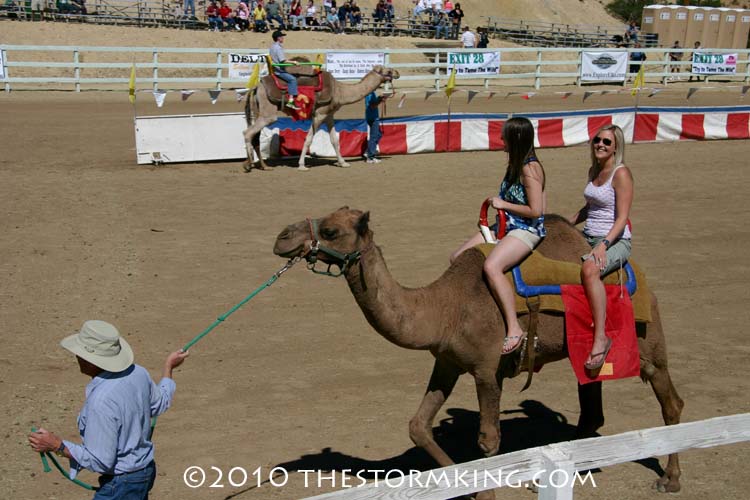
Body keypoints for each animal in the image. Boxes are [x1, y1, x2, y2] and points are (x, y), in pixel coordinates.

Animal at [242, 65, 399, 172]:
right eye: (388, 71)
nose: (397, 72)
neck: (339, 91)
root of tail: (257, 87)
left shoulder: (329, 115)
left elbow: (334, 140)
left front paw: (343, 163)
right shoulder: (320, 114)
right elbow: (308, 139)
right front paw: (302, 165)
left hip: (260, 111)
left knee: (255, 136)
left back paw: (264, 166)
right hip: (268, 112)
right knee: (248, 132)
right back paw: (248, 164)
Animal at [273, 207, 685, 499]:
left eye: (331, 230)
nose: (282, 237)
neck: (444, 307)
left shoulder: (487, 368)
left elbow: (488, 440)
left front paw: (484, 493)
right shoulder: (446, 361)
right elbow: (418, 426)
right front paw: (460, 486)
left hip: (646, 338)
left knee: (669, 400)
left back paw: (669, 479)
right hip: (583, 348)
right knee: (591, 400)